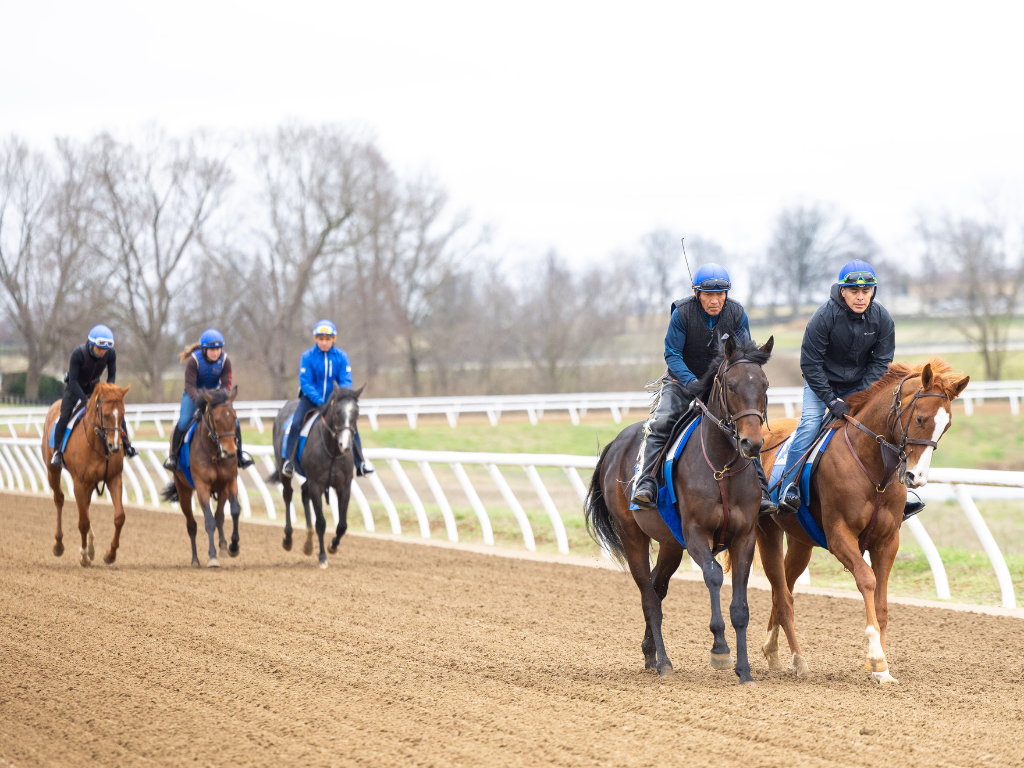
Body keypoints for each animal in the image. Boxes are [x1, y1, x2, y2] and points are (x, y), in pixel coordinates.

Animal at [41, 382, 132, 569]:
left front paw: (110, 554)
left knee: (86, 505)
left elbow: (119, 517)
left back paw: (90, 548)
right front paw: (83, 555)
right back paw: (59, 544)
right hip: (52, 470)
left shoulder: (113, 478)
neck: (98, 443)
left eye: (123, 414)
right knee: (59, 499)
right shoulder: (79, 483)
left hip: (90, 483)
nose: (115, 446)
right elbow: (83, 521)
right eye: (106, 414)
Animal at [158, 387, 240, 569]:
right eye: (216, 420)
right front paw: (212, 557)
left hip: (222, 489)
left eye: (235, 417)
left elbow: (234, 511)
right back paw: (195, 559)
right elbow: (208, 521)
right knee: (191, 525)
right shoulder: (202, 485)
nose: (230, 452)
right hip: (183, 490)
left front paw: (233, 546)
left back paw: (223, 547)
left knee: (219, 516)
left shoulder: (230, 480)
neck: (214, 453)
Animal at [268, 385, 364, 573]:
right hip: (285, 471)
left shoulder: (344, 486)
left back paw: (308, 543)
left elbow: (342, 525)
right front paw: (322, 558)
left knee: (304, 494)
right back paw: (288, 539)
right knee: (288, 495)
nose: (346, 445)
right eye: (338, 411)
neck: (333, 450)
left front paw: (333, 546)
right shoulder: (316, 484)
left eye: (356, 412)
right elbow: (321, 522)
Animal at [589, 335, 770, 684]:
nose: (751, 444)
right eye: (731, 385)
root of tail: (615, 444)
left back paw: (650, 652)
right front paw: (720, 649)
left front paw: (744, 670)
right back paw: (663, 662)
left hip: (670, 543)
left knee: (657, 587)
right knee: (649, 597)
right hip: (633, 535)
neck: (722, 468)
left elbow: (740, 606)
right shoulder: (696, 532)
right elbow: (713, 575)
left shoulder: (745, 536)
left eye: (765, 384)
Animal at [761, 358, 966, 684]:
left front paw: (883, 670)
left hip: (800, 541)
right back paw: (798, 660)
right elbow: (867, 580)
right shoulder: (839, 535)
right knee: (782, 592)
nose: (916, 477)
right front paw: (876, 659)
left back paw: (772, 650)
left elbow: (882, 603)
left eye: (945, 426)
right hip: (765, 530)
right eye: (921, 418)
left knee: (784, 588)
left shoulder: (887, 541)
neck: (873, 465)